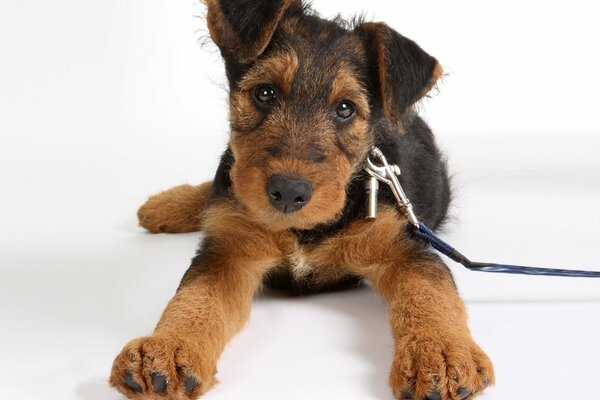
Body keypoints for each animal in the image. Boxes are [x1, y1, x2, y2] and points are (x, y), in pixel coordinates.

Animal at [110, 1, 494, 398]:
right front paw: (166, 349)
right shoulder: (229, 250)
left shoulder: (404, 247)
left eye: (345, 108)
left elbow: (430, 295)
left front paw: (442, 356)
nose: (289, 192)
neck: (303, 230)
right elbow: (194, 299)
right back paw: (164, 205)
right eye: (265, 93)